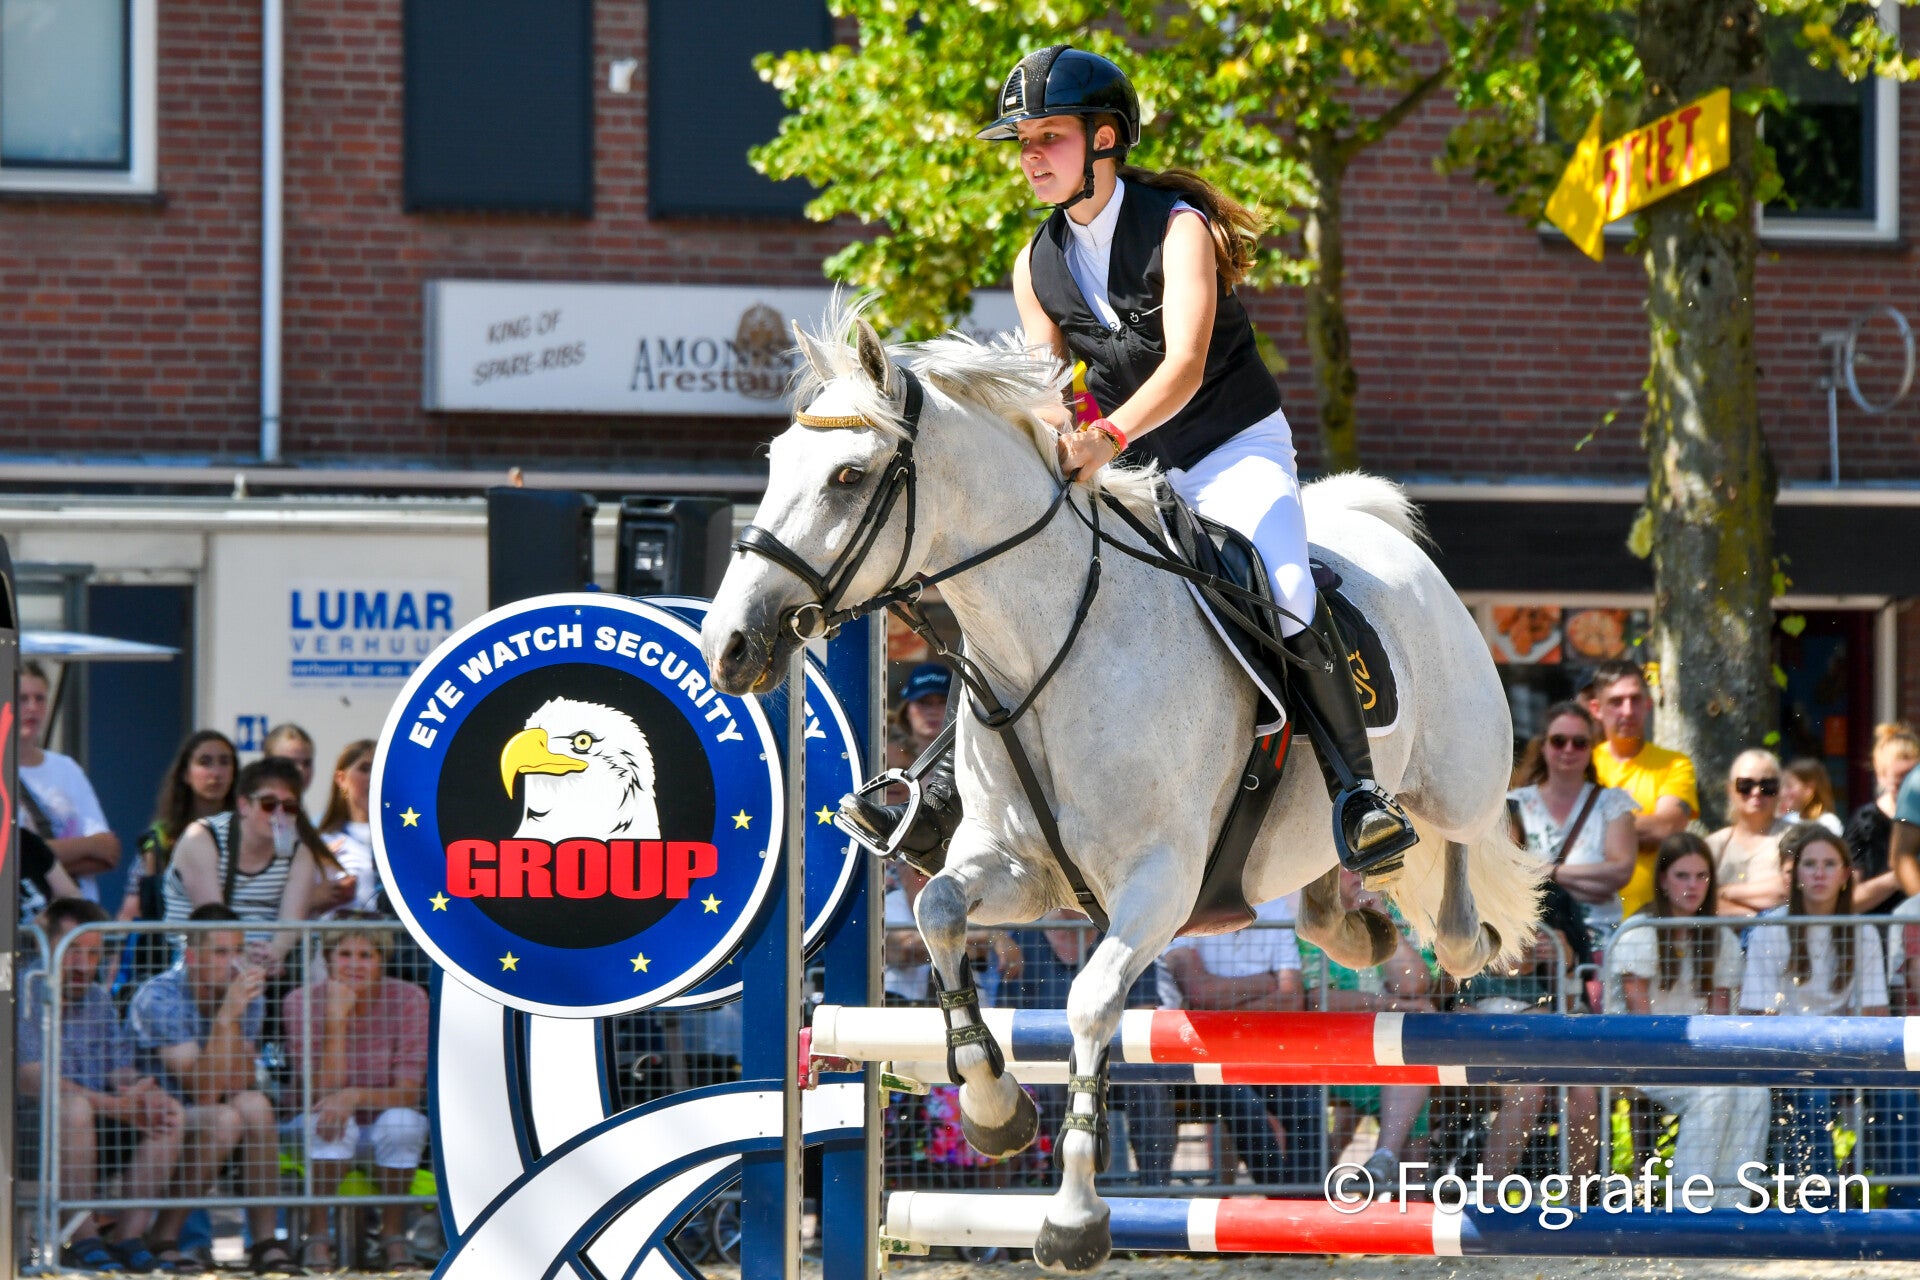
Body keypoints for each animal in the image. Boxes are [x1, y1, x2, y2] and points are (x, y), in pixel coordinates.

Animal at [700, 300, 1543, 1273]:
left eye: (849, 475)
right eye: (774, 465)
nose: (730, 647)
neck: (1044, 645)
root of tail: (1387, 536)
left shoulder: (1158, 886)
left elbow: (1090, 1002)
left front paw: (1072, 1218)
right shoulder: (1018, 872)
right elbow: (938, 911)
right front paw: (993, 1107)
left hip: (1461, 771)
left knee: (1459, 853)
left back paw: (1446, 919)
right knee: (1329, 888)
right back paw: (1353, 920)